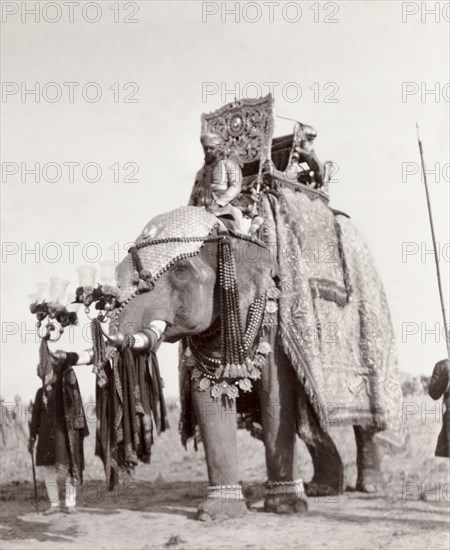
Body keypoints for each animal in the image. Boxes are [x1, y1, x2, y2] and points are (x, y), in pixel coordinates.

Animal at [107, 190, 402, 520]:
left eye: (181, 272)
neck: (230, 228)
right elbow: (209, 393)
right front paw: (217, 512)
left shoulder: (276, 313)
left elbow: (277, 394)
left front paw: (286, 507)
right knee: (311, 419)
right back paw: (323, 489)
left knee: (362, 419)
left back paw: (368, 487)